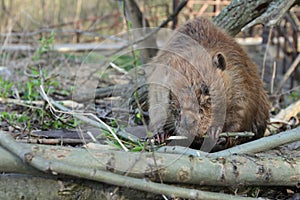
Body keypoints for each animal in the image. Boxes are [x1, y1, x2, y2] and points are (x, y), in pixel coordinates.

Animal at [145, 16, 270, 148]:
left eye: (206, 89)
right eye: (170, 94)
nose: (188, 123)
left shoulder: (239, 77)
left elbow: (242, 111)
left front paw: (218, 134)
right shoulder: (158, 80)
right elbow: (156, 107)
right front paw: (160, 135)